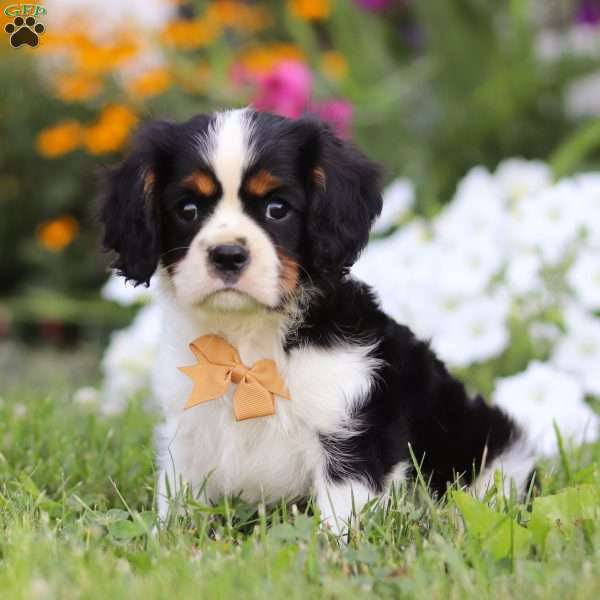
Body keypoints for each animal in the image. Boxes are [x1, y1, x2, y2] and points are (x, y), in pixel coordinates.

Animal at [99, 108, 536, 528]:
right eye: (187, 210)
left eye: (277, 209)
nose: (227, 255)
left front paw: (333, 550)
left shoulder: (350, 429)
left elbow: (342, 510)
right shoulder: (187, 427)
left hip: (494, 450)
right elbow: (178, 500)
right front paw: (166, 536)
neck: (250, 334)